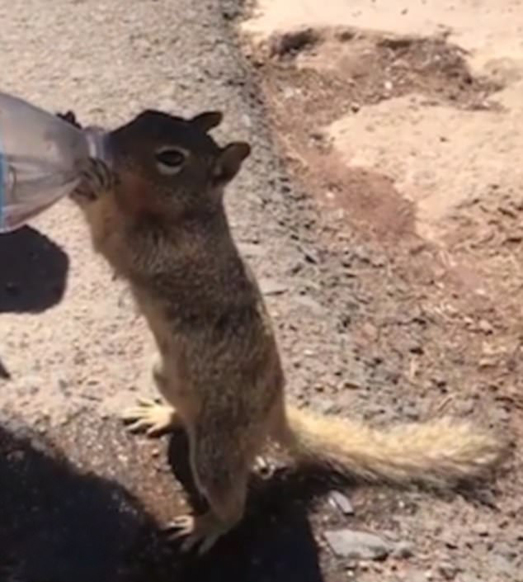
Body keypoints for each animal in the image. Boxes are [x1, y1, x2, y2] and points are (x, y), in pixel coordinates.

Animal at [64, 108, 508, 556]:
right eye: (145, 116)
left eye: (171, 158)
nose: (109, 144)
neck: (191, 215)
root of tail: (273, 411)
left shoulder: (162, 250)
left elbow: (109, 235)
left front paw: (90, 181)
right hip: (166, 376)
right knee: (185, 417)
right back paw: (163, 414)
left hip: (216, 448)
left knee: (231, 501)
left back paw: (205, 525)